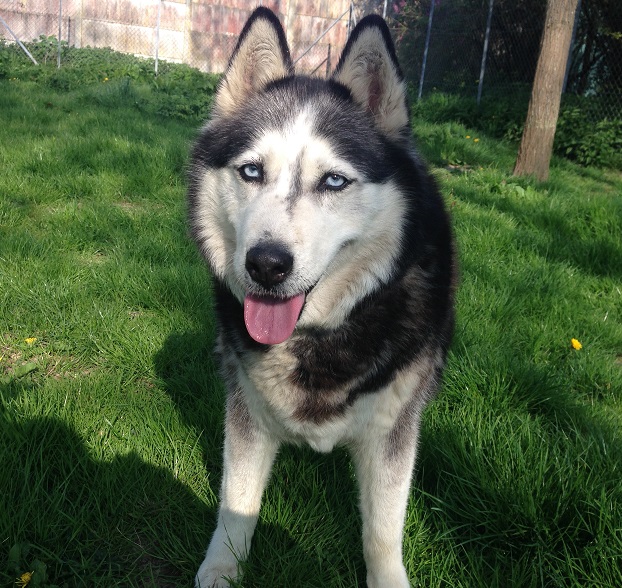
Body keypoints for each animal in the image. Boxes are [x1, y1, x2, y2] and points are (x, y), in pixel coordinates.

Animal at [188, 5, 456, 588]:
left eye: (333, 181)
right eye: (251, 171)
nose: (266, 265)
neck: (320, 336)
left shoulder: (392, 430)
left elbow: (382, 529)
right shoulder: (246, 407)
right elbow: (237, 500)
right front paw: (222, 566)